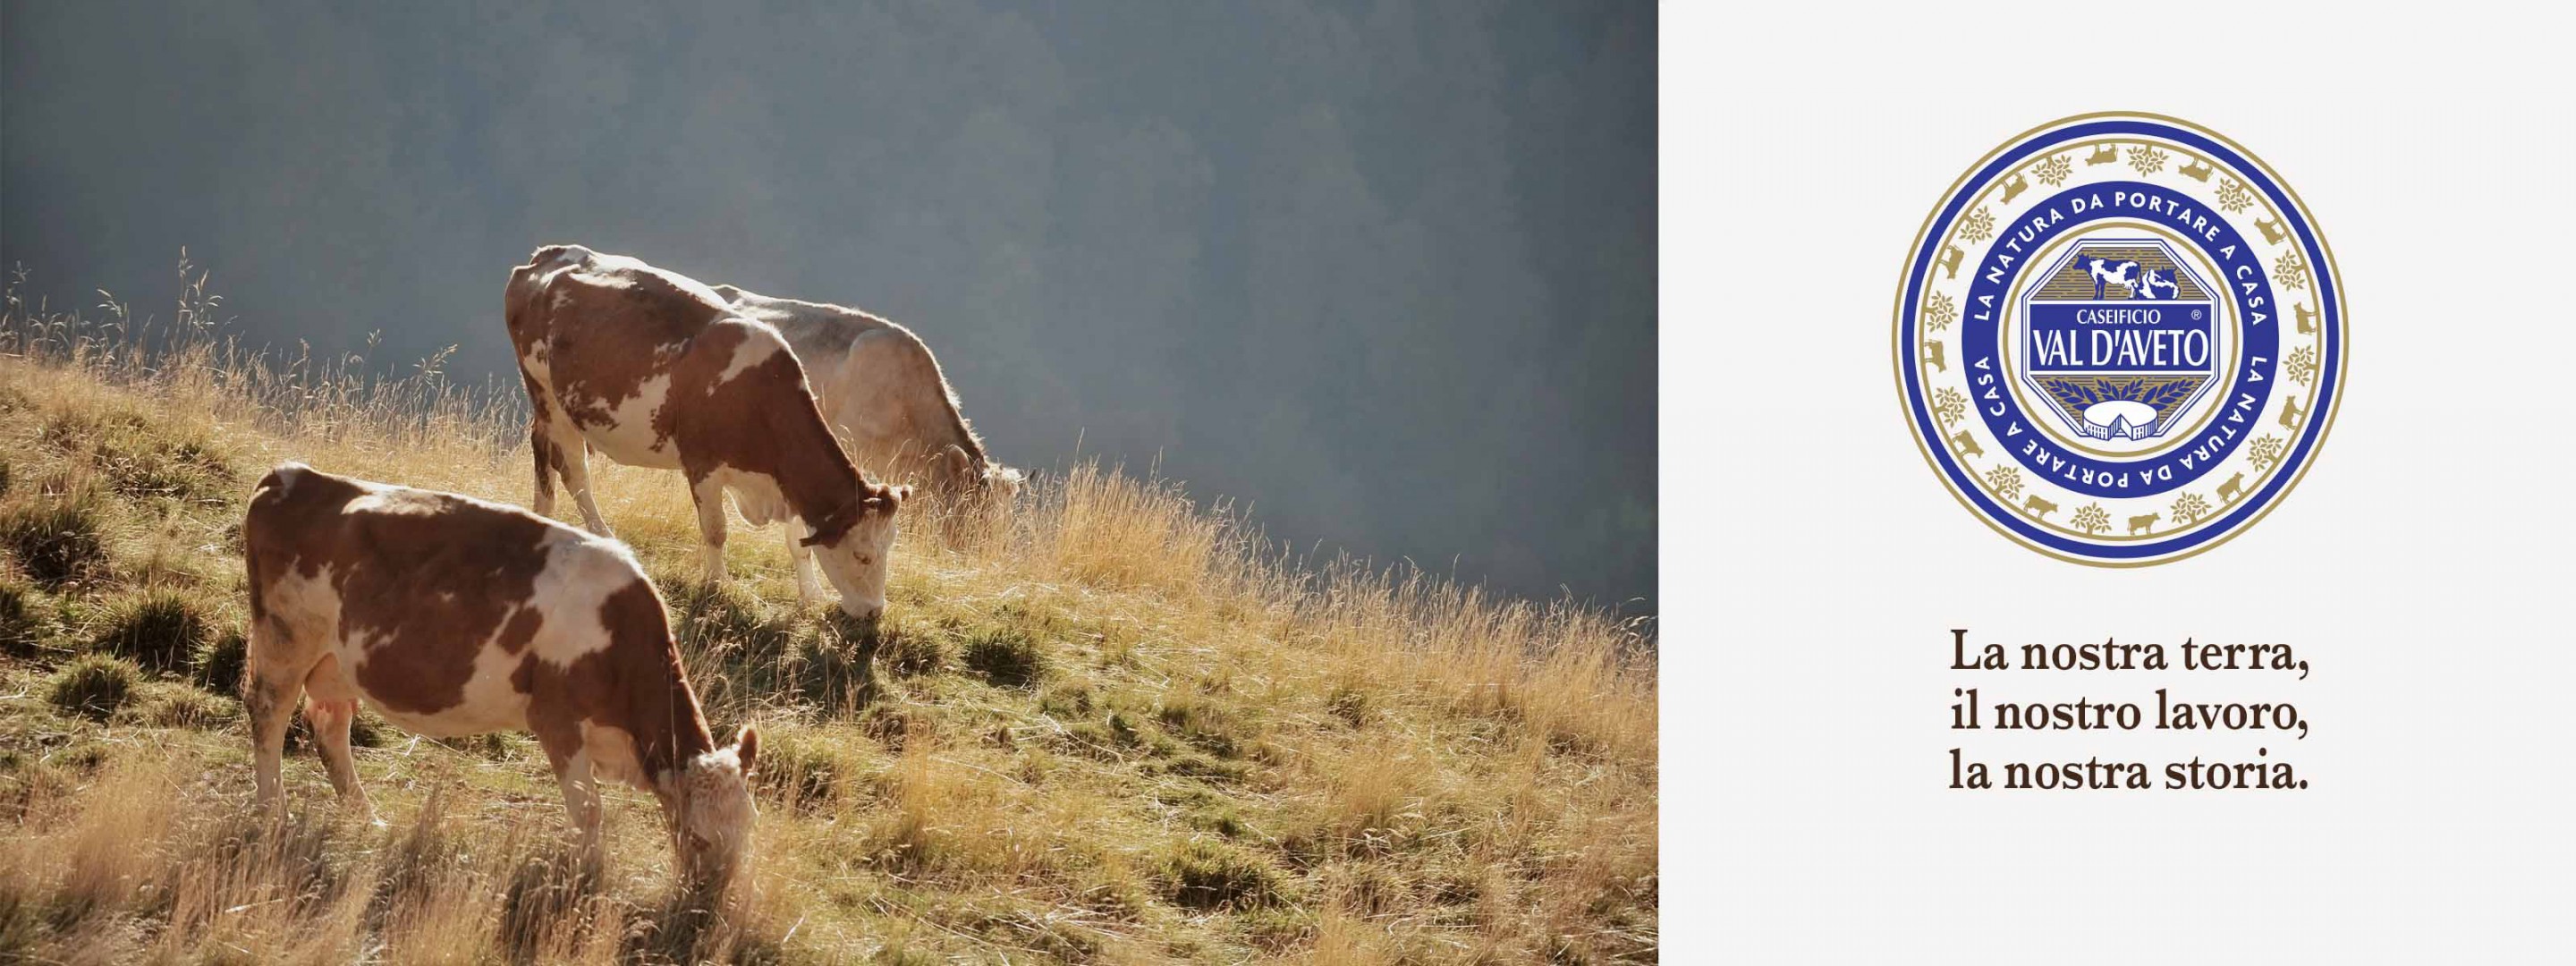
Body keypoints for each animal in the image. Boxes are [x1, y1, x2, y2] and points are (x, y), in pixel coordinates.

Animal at [242, 466, 757, 891]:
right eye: (699, 837)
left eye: (748, 827)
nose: (707, 904)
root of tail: (289, 475)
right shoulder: (556, 718)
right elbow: (589, 810)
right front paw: (591, 874)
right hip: (285, 640)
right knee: (268, 714)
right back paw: (273, 812)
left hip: (337, 663)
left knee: (329, 726)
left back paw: (366, 817)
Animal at [499, 246, 906, 615]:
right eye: (863, 556)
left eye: (890, 547)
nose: (874, 613)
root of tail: (547, 256)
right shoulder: (702, 465)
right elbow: (716, 529)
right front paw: (720, 584)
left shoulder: (785, 479)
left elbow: (796, 541)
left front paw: (812, 594)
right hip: (546, 394)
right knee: (573, 469)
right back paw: (601, 535)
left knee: (546, 453)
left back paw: (545, 514)